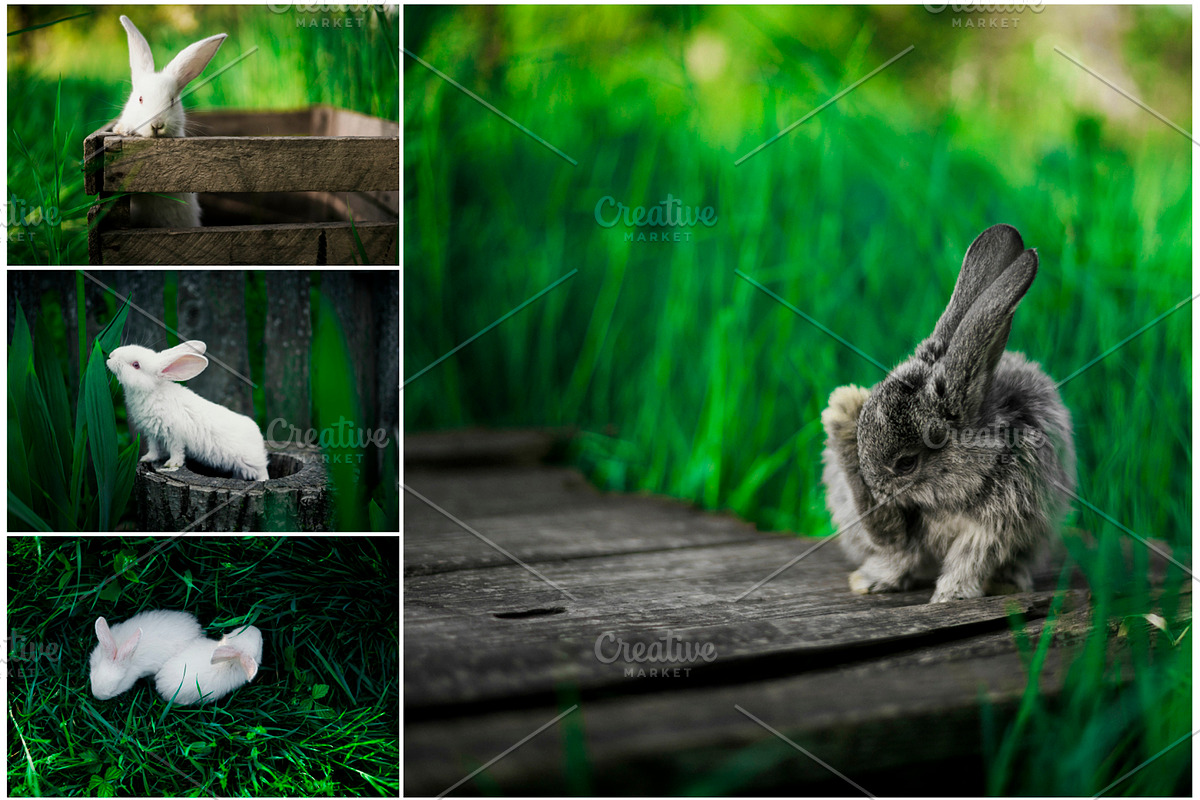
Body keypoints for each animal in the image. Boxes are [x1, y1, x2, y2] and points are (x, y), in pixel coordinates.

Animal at [106, 340, 270, 481]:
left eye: (136, 365)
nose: (110, 356)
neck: (152, 391)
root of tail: (257, 434)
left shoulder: (175, 435)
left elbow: (177, 451)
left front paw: (172, 464)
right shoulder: (153, 434)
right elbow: (154, 449)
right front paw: (146, 458)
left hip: (252, 462)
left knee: (263, 471)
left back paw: (262, 480)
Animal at [821, 224, 1076, 603]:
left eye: (906, 463)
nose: (877, 490)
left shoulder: (994, 528)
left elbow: (969, 559)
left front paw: (950, 597)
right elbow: (899, 552)